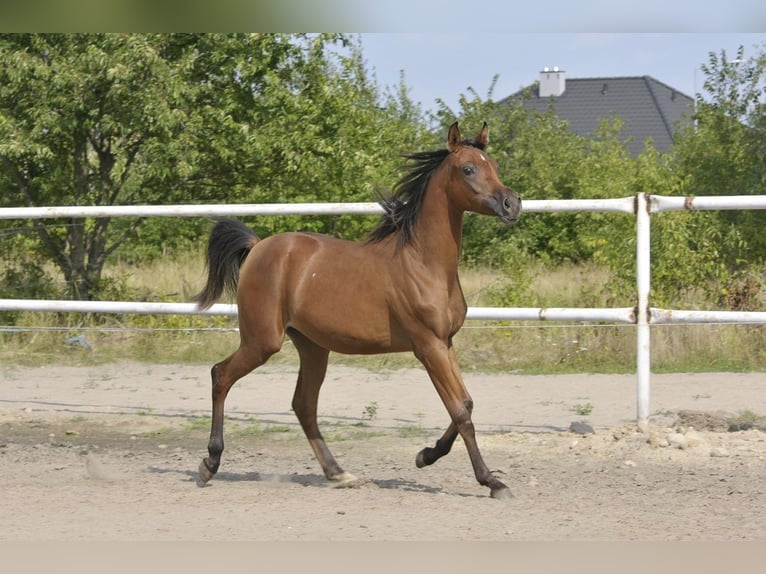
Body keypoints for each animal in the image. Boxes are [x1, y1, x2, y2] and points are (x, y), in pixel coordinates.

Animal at [193, 122, 521, 499]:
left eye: (494, 165)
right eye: (468, 169)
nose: (513, 204)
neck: (423, 263)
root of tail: (259, 246)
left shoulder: (446, 343)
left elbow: (465, 404)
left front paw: (425, 456)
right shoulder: (428, 346)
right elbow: (460, 411)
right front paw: (492, 481)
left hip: (312, 346)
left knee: (303, 405)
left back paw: (339, 473)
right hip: (262, 341)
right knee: (221, 375)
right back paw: (209, 464)